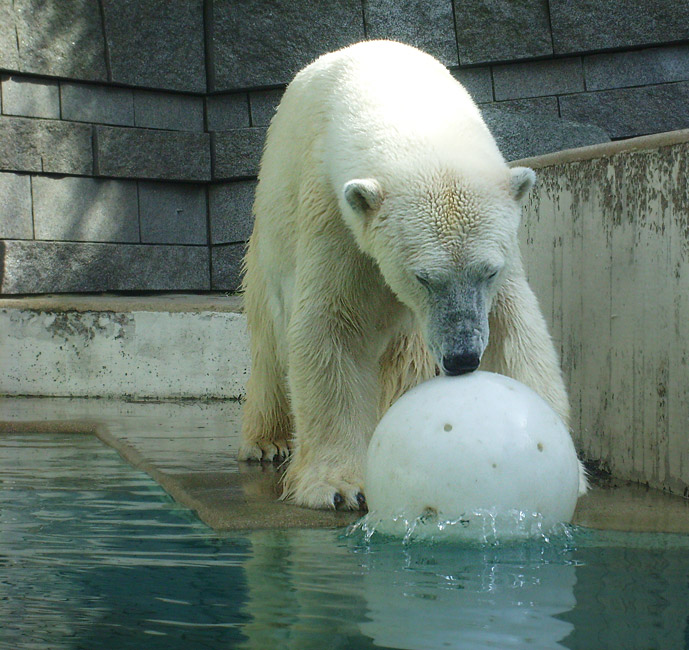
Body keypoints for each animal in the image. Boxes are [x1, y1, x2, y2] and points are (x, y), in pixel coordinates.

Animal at [238, 40, 584, 508]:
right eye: (424, 277)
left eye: (487, 272)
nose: (462, 358)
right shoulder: (334, 214)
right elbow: (332, 326)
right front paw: (338, 485)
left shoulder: (502, 254)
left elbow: (513, 327)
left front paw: (571, 468)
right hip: (271, 236)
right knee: (271, 338)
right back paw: (266, 441)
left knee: (405, 355)